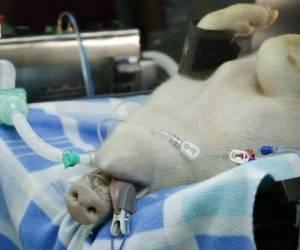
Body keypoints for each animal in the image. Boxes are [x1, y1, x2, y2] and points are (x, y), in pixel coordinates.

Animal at [65, 3, 300, 226]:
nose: (77, 203)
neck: (185, 118)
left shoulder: (181, 81)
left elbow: (209, 26)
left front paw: (274, 18)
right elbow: (269, 56)